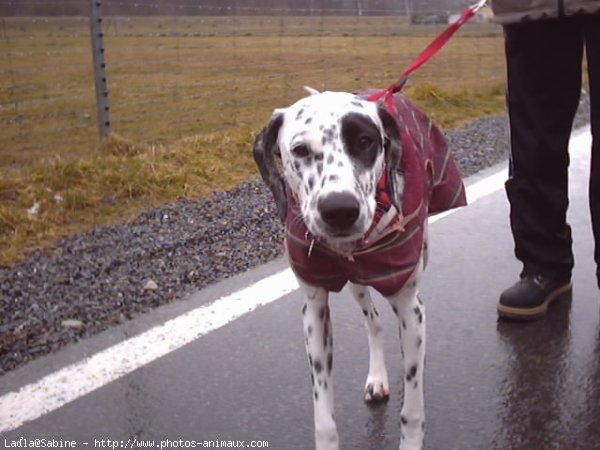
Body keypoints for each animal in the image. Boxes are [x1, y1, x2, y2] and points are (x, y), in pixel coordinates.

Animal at [251, 89, 466, 450]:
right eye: (300, 150)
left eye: (365, 141)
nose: (339, 209)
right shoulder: (315, 312)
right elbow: (324, 417)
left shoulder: (410, 306)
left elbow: (412, 409)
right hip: (356, 284)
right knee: (373, 321)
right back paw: (377, 377)